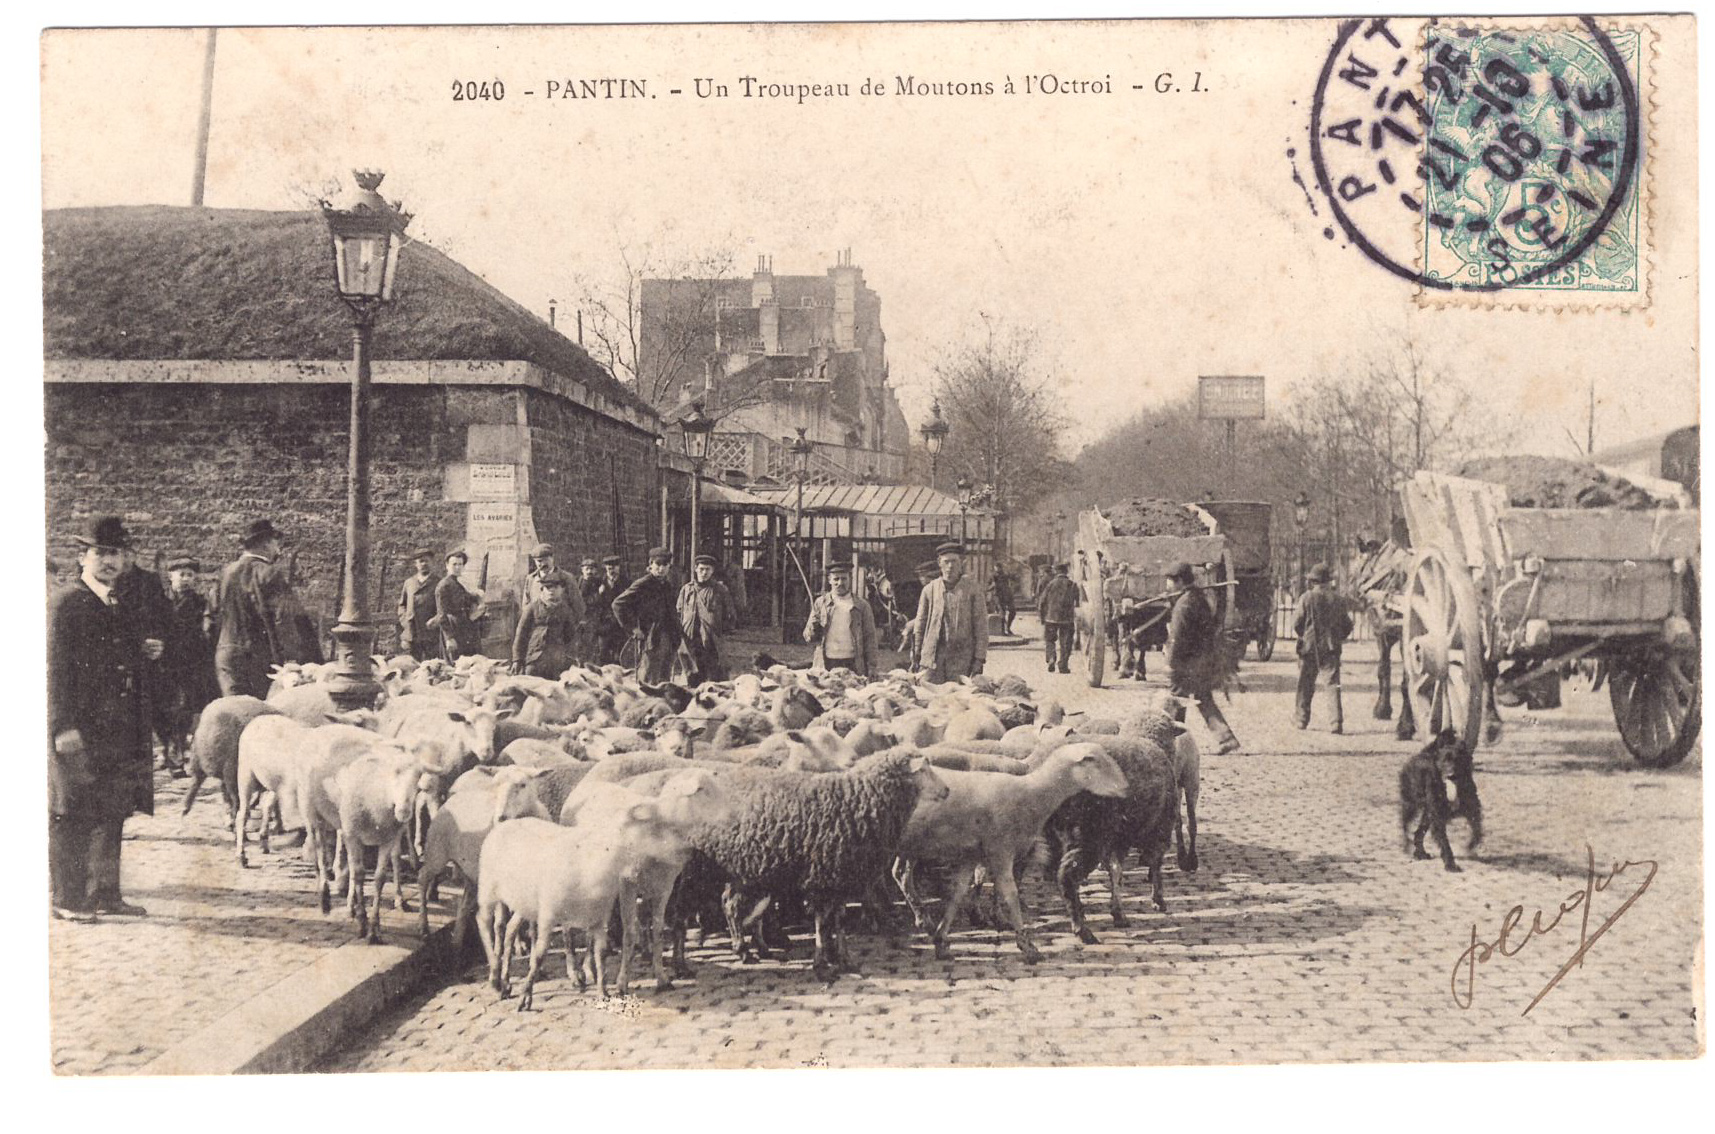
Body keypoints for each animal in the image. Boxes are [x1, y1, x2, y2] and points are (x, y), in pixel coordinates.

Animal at [1399, 730, 1481, 871]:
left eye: (1458, 760)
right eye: (1444, 761)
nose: (1451, 775)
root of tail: (1422, 753)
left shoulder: (1473, 809)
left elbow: (1477, 830)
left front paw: (1469, 847)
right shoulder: (1437, 817)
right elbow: (1444, 842)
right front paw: (1450, 864)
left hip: (1427, 814)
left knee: (1418, 833)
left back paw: (1420, 853)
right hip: (1411, 804)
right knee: (1405, 825)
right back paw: (1407, 847)